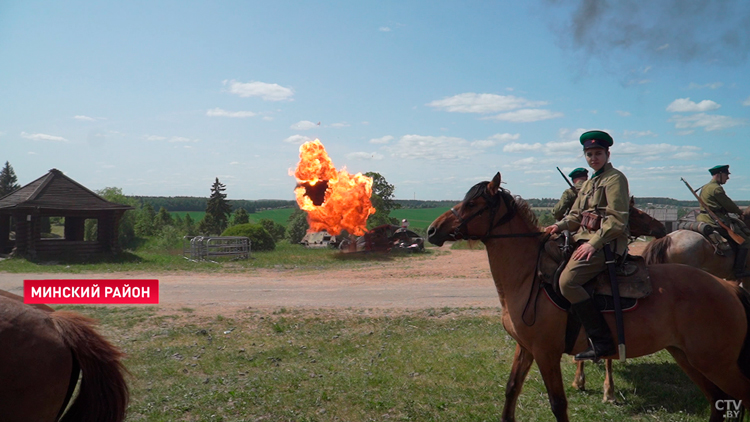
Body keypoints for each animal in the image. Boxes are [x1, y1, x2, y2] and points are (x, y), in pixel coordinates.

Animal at [432, 172, 750, 422]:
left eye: (472, 203)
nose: (433, 229)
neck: (530, 277)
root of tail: (728, 288)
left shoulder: (545, 353)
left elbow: (558, 403)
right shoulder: (525, 349)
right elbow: (511, 389)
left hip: (715, 363)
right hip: (689, 358)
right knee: (717, 402)